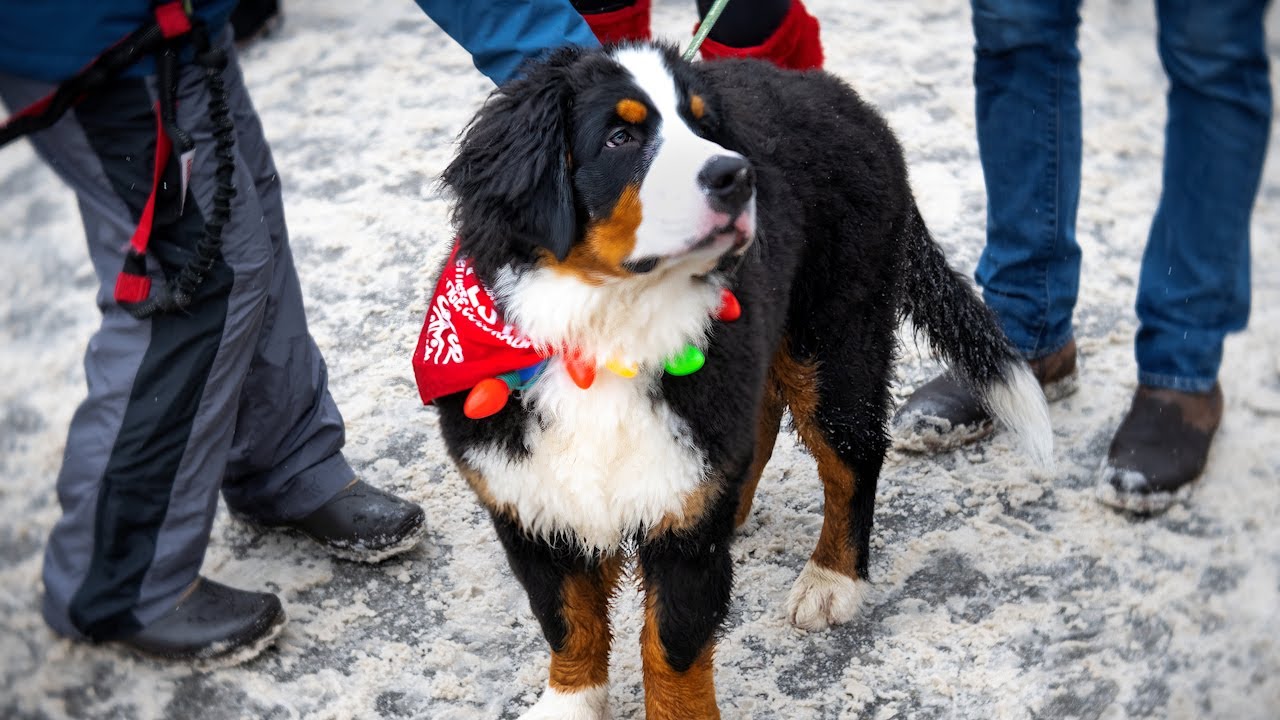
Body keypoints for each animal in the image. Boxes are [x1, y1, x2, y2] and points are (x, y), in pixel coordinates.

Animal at [427, 40, 1049, 717]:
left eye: (702, 125)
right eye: (620, 136)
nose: (737, 176)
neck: (606, 337)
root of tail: (844, 98)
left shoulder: (683, 520)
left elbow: (671, 648)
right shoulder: (531, 501)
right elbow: (570, 623)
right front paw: (569, 701)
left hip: (835, 342)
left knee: (852, 458)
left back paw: (832, 579)